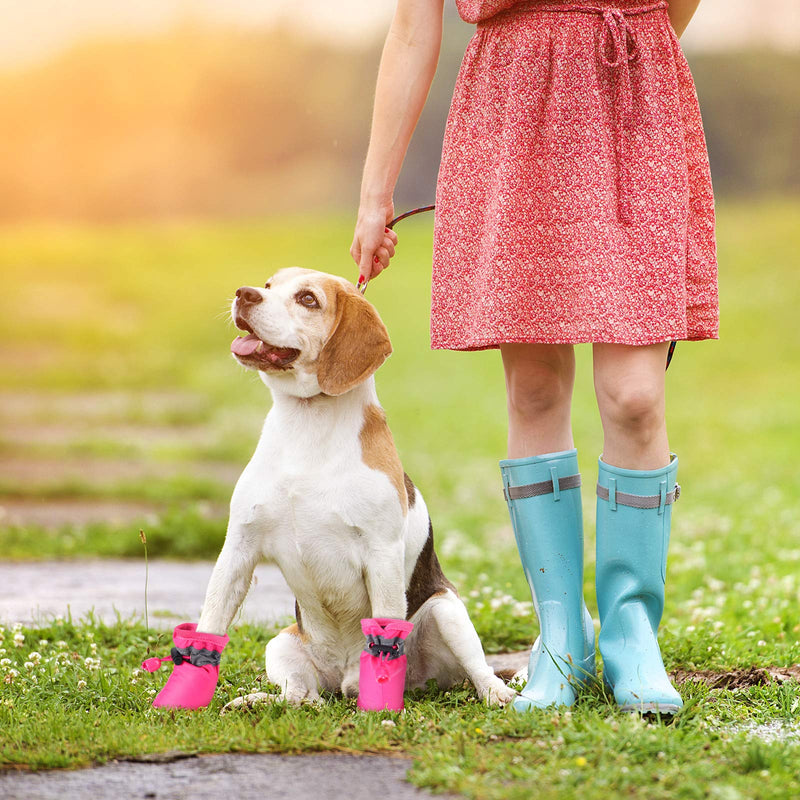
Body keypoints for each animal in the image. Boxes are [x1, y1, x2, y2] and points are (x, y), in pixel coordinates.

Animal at [197, 268, 516, 708]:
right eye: (268, 284)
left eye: (308, 299)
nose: (244, 294)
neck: (307, 424)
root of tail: (344, 680)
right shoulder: (239, 548)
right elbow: (210, 622)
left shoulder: (380, 553)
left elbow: (384, 629)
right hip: (282, 645)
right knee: (302, 698)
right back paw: (259, 701)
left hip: (446, 612)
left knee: (478, 670)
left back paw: (497, 693)